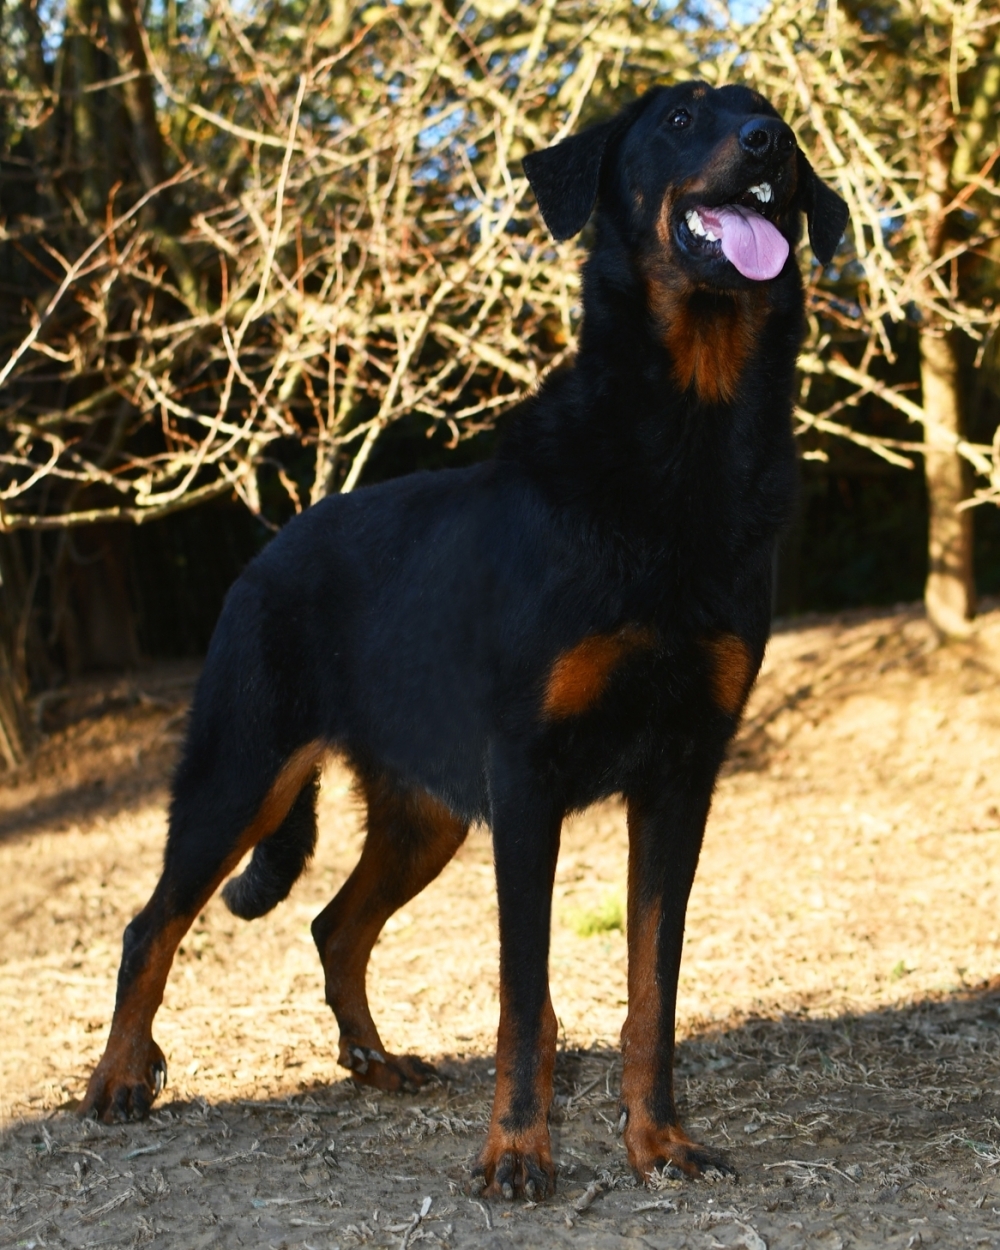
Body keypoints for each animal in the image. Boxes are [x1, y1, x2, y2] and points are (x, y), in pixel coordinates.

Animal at [78, 80, 850, 1200]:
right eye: (677, 120)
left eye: (770, 120)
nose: (768, 146)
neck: (685, 429)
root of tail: (268, 553)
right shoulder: (528, 776)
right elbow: (525, 995)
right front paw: (519, 1150)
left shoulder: (681, 776)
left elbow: (651, 986)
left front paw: (657, 1139)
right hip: (242, 769)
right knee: (155, 921)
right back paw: (121, 1076)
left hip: (426, 813)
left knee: (335, 923)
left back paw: (374, 1059)